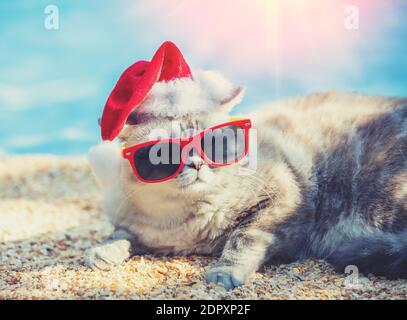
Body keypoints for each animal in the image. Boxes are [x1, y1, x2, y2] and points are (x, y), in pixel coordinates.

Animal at [86, 69, 407, 290]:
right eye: (163, 153)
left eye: (213, 143)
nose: (197, 162)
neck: (188, 223)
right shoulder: (146, 230)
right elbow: (122, 235)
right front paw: (102, 252)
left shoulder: (279, 200)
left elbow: (242, 238)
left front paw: (225, 273)